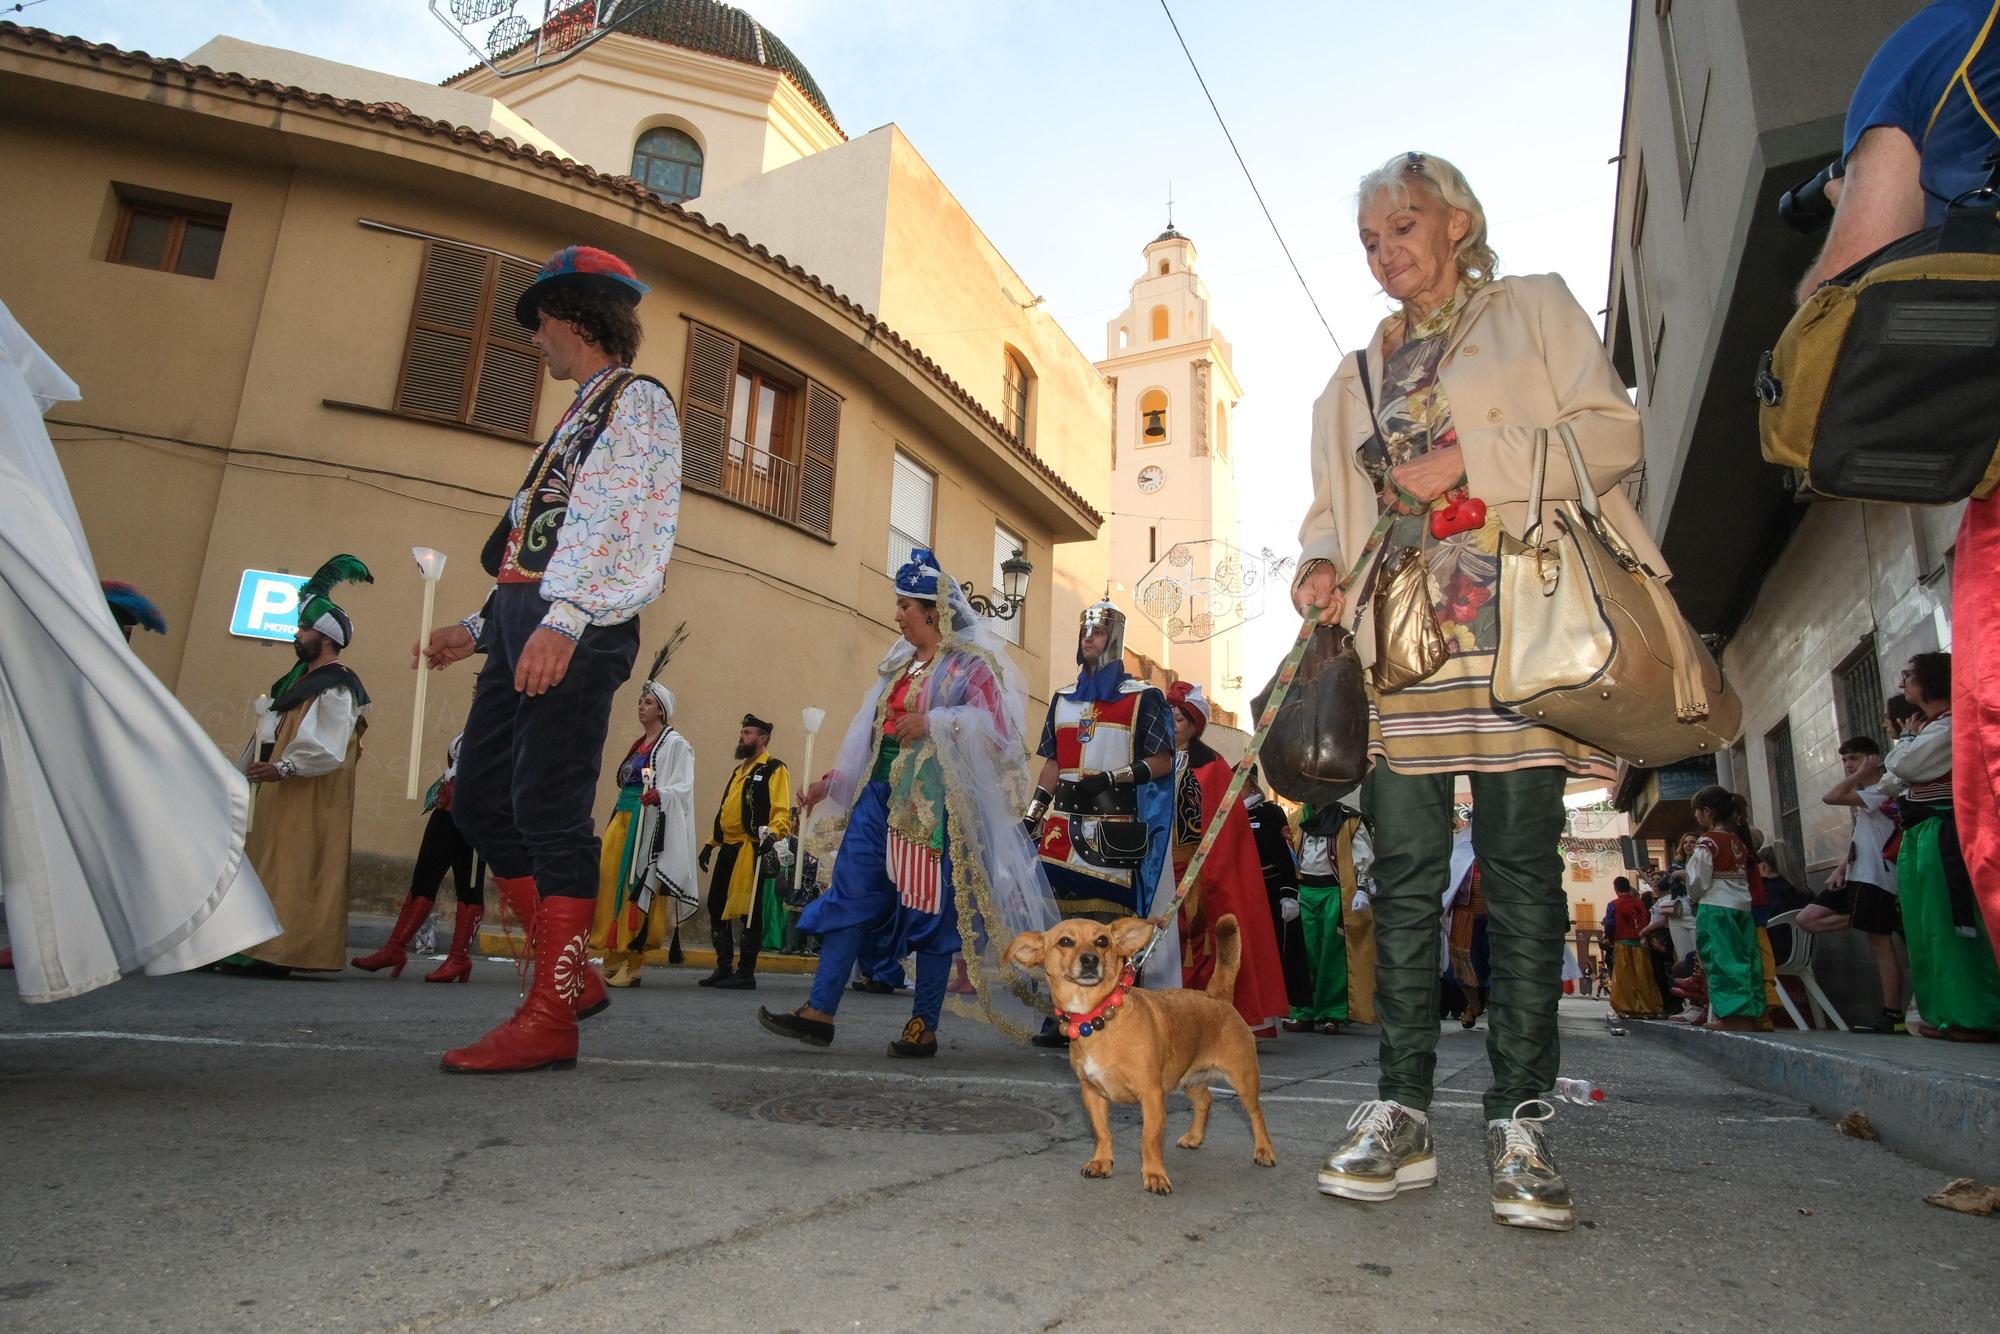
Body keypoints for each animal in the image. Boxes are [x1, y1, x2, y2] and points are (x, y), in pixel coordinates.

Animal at [1008, 912, 1272, 1192]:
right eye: (1065, 942)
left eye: (1102, 941)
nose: (1090, 959)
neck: (1098, 1018)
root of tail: (1216, 996)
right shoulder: (1091, 1094)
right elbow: (1102, 1132)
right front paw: (1101, 1162)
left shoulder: (1152, 1096)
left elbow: (1149, 1139)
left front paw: (1154, 1174)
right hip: (1189, 1078)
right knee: (1205, 1101)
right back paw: (1194, 1137)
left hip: (1243, 1079)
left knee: (1256, 1114)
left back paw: (1264, 1150)